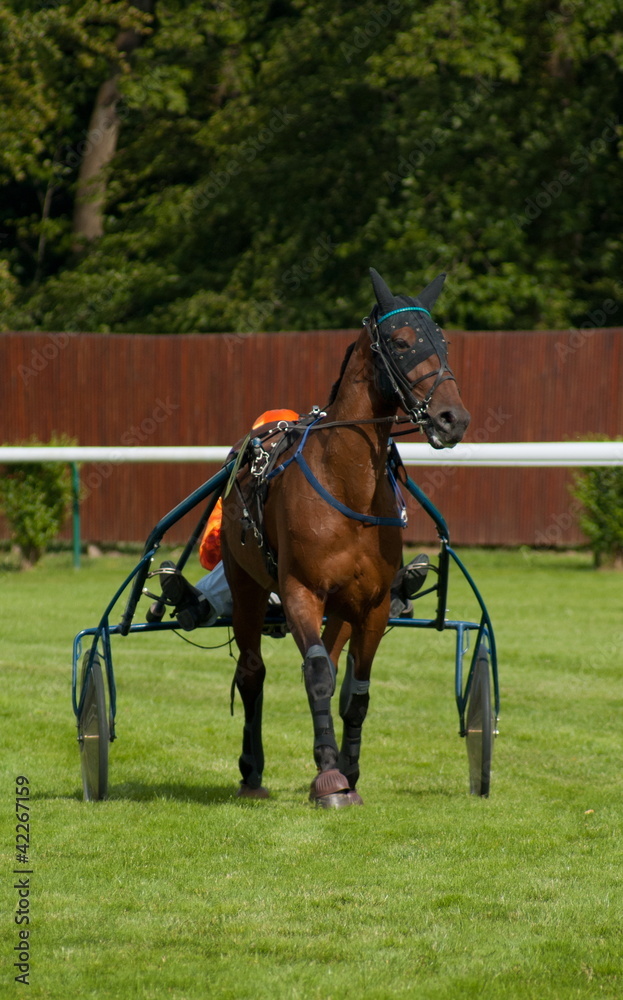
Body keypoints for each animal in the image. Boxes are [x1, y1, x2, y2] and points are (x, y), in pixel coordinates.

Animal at [220, 267, 470, 807]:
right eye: (400, 342)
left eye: (443, 341)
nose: (452, 418)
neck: (346, 483)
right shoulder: (300, 591)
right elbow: (315, 676)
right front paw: (331, 779)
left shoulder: (371, 603)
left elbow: (356, 688)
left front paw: (347, 769)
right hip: (245, 583)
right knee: (252, 670)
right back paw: (252, 772)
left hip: (339, 607)